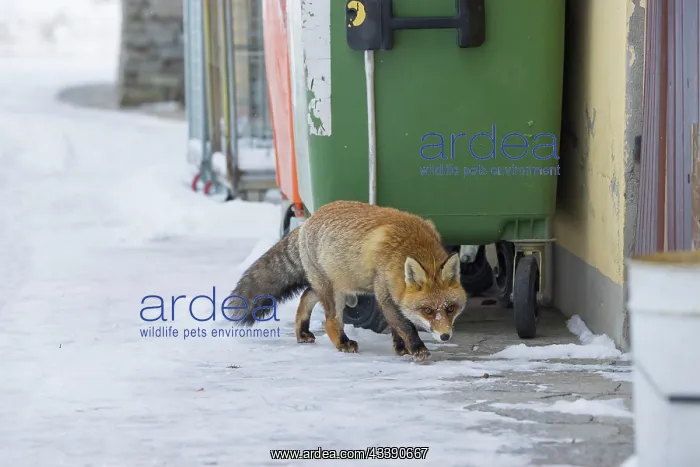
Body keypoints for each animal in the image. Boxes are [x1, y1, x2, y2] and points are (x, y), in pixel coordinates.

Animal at [225, 200, 468, 362]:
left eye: (450, 308)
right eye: (427, 311)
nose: (445, 336)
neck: (408, 245)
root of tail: (308, 220)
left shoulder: (391, 295)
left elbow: (396, 327)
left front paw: (401, 348)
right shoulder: (385, 294)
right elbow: (404, 325)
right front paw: (416, 348)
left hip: (333, 284)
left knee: (306, 295)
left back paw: (302, 333)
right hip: (334, 293)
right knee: (331, 321)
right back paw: (343, 343)